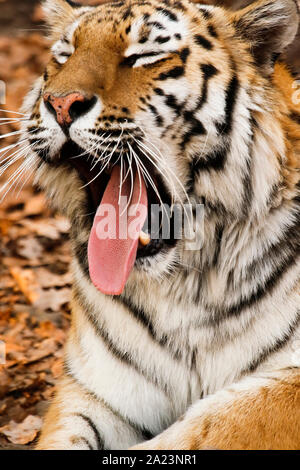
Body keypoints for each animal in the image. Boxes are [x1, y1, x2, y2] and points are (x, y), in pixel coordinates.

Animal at [17, 0, 300, 450]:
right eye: (64, 55)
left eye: (143, 56)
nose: (60, 103)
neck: (182, 288)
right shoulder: (99, 391)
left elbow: (211, 424)